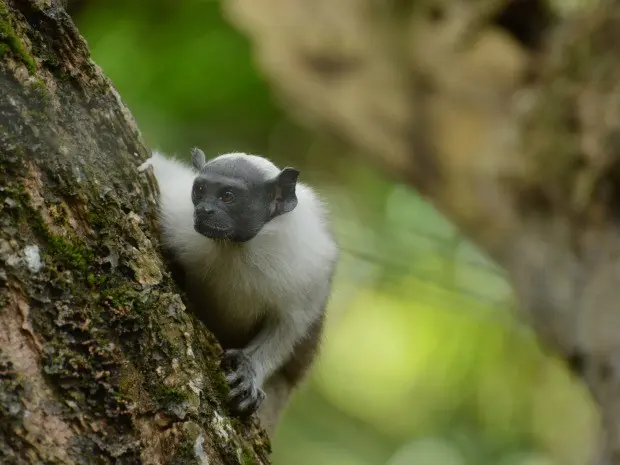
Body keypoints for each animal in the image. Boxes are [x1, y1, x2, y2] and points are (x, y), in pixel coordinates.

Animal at [139, 149, 340, 436]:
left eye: (228, 196)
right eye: (200, 190)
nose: (204, 210)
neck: (237, 248)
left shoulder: (310, 268)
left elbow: (288, 327)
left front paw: (248, 371)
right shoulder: (179, 216)